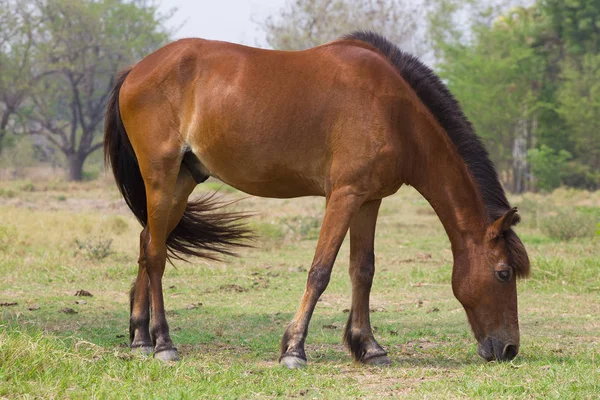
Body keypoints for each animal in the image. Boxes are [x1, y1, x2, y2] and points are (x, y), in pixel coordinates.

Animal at [104, 32, 528, 368]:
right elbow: (320, 272)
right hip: (160, 176)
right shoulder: (343, 196)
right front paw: (294, 349)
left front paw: (369, 348)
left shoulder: (369, 200)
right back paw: (163, 343)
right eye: (503, 273)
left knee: (147, 243)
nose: (509, 349)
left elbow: (363, 271)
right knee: (156, 255)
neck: (394, 111)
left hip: (182, 180)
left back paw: (140, 339)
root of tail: (136, 70)